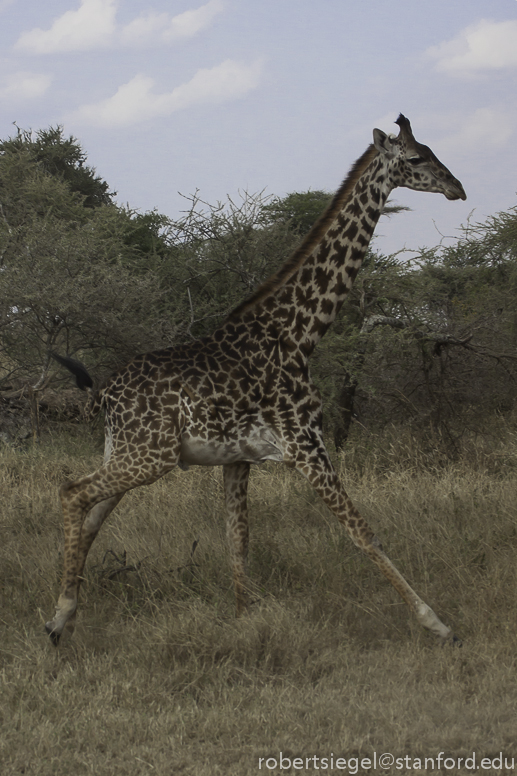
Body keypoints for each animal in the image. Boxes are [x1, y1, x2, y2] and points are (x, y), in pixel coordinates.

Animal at [46, 115, 466, 644]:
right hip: (148, 457)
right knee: (72, 493)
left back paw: (64, 618)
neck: (299, 334)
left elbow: (238, 539)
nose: (457, 188)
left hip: (125, 451)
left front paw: (243, 621)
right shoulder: (306, 444)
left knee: (92, 515)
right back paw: (59, 614)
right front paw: (437, 623)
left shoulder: (239, 458)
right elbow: (361, 530)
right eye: (415, 158)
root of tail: (105, 393)